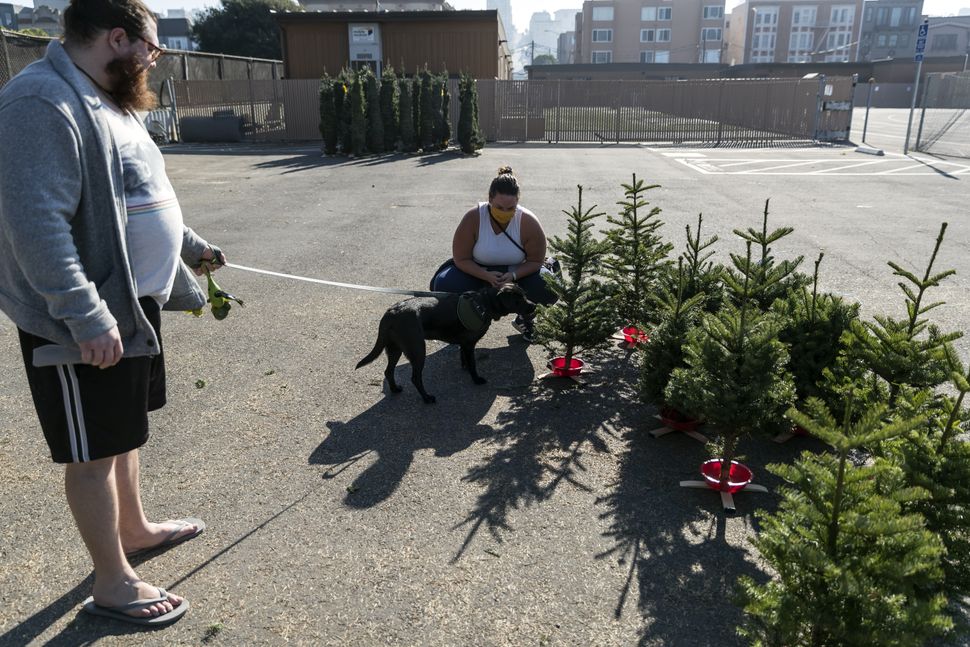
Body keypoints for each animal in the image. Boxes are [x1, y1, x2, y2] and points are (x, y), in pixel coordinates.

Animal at [358, 284, 536, 402]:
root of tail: (391, 313)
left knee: (388, 371)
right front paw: (476, 379)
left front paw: (465, 369)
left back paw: (395, 390)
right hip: (417, 349)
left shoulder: (464, 344)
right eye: (518, 300)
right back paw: (427, 398)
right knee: (415, 378)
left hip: (395, 348)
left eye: (525, 295)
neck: (484, 304)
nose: (534, 305)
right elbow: (473, 364)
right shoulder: (469, 344)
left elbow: (464, 359)